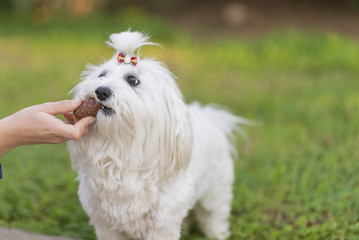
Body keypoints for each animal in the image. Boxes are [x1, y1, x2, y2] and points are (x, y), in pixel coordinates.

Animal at [68, 30, 250, 240]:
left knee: (213, 215)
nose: (101, 91)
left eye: (132, 80)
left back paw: (216, 233)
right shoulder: (105, 223)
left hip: (215, 190)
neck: (122, 149)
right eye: (102, 75)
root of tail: (207, 114)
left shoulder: (162, 221)